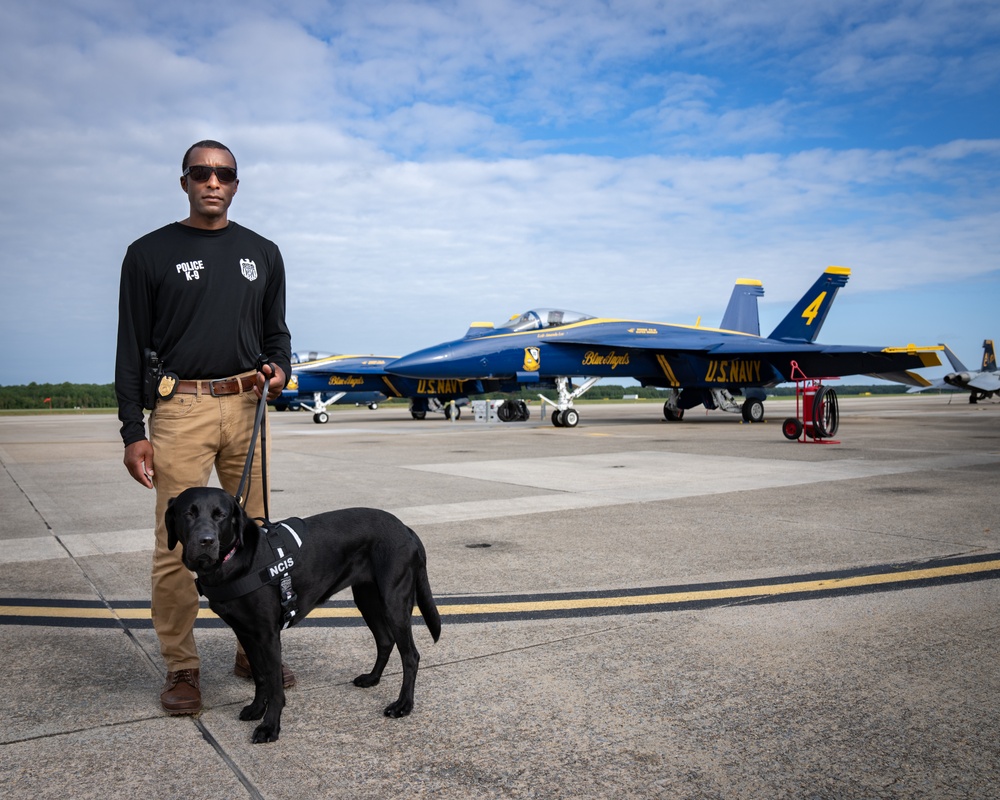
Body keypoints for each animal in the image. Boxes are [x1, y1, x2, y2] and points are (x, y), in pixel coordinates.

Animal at [166, 488, 440, 744]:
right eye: (188, 514)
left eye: (220, 515)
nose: (205, 541)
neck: (232, 562)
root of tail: (406, 528)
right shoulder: (245, 632)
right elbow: (260, 676)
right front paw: (256, 709)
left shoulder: (267, 635)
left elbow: (275, 685)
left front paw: (270, 727)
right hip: (367, 599)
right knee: (385, 640)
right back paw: (372, 679)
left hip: (394, 601)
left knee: (411, 655)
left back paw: (403, 705)